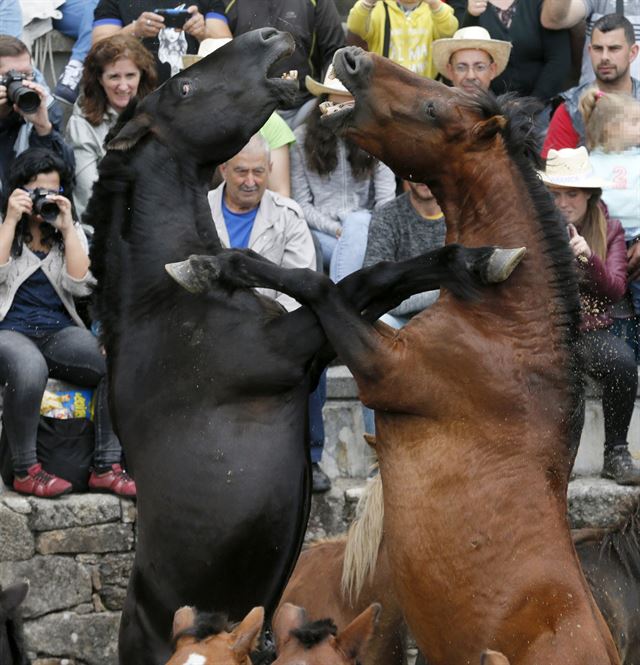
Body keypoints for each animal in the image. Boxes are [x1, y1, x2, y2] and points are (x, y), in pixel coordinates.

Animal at [87, 28, 524, 660]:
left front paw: (480, 257)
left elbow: (375, 279)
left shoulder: (317, 350)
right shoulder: (289, 352)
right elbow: (350, 282)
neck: (165, 304)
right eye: (185, 88)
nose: (267, 35)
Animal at [172, 48, 624, 664]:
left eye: (434, 109)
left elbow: (319, 284)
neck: (507, 325)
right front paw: (212, 264)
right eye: (442, 89)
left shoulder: (388, 370)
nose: (352, 58)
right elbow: (376, 273)